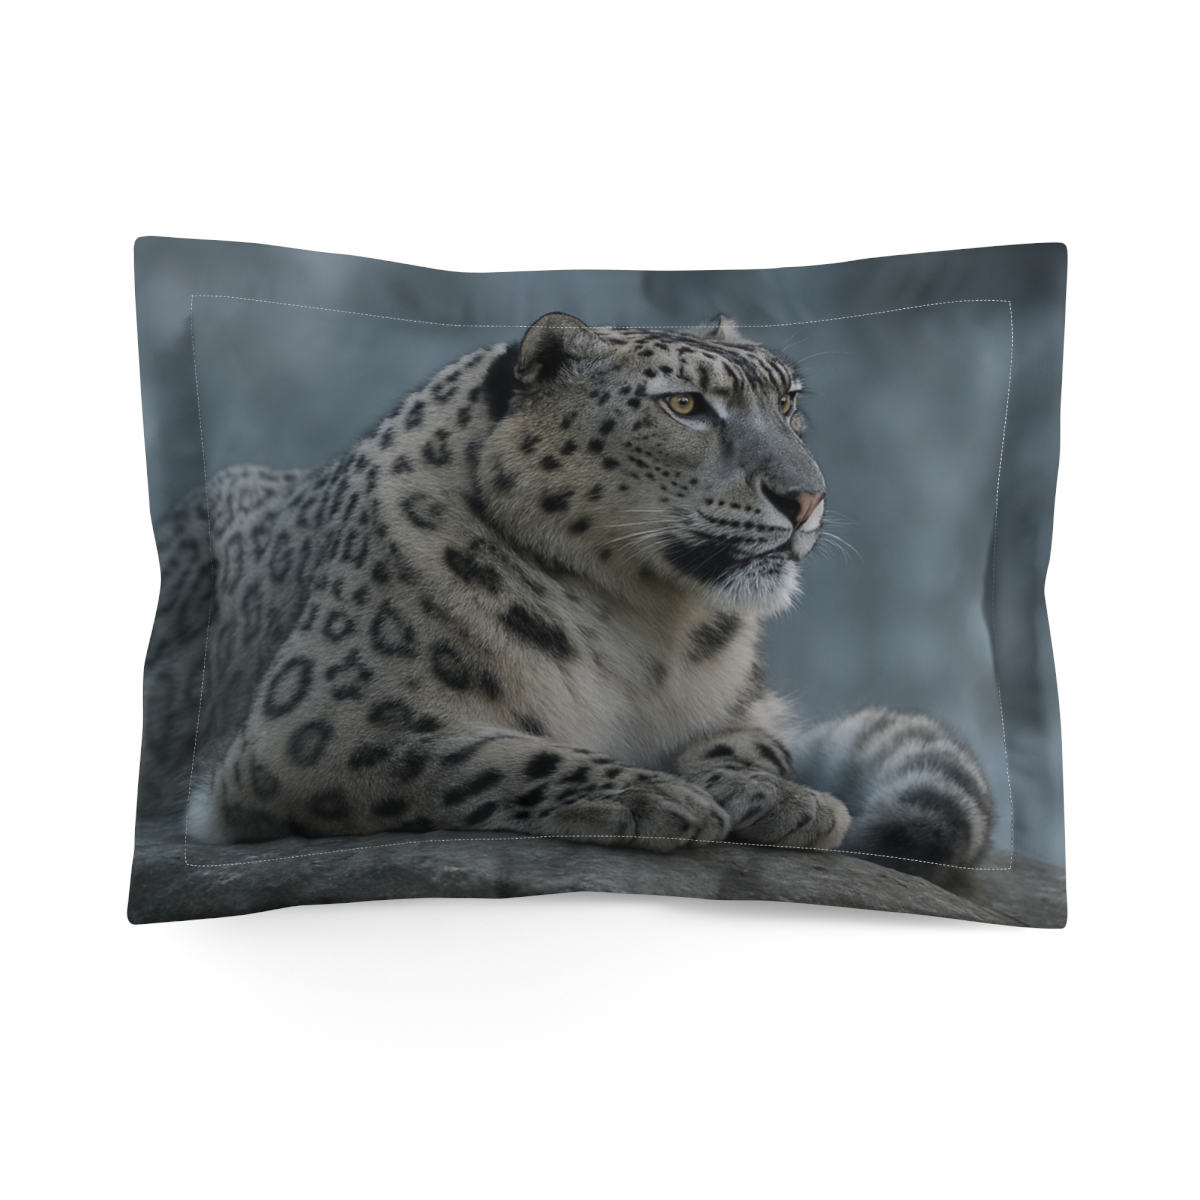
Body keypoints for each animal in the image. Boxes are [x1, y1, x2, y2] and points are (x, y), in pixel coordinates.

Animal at [139, 312, 995, 876]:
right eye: (686, 404)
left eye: (787, 401)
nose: (806, 497)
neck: (647, 625)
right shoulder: (320, 727)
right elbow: (486, 755)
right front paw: (657, 798)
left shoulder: (747, 704)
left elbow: (757, 739)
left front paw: (772, 794)